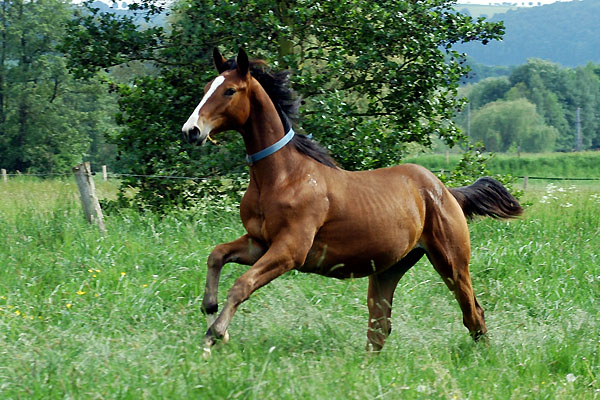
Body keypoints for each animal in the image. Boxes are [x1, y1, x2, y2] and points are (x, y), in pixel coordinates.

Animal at [180, 47, 524, 356]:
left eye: (229, 90)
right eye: (206, 88)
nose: (191, 130)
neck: (283, 177)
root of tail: (446, 191)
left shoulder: (290, 250)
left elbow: (241, 284)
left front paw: (214, 336)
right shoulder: (259, 243)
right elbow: (217, 255)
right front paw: (211, 310)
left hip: (452, 262)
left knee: (473, 314)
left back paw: (485, 358)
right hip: (388, 270)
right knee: (380, 326)